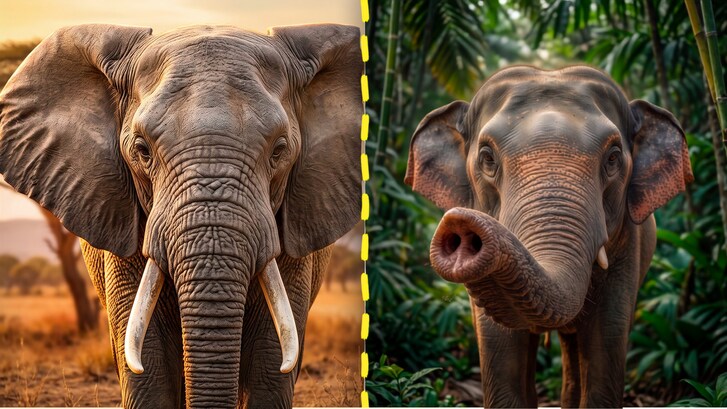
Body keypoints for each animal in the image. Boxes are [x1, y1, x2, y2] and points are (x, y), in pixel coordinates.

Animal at [405, 65, 692, 407]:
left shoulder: (629, 244)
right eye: (487, 158)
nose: (459, 224)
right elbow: (499, 343)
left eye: (612, 158)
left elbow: (607, 335)